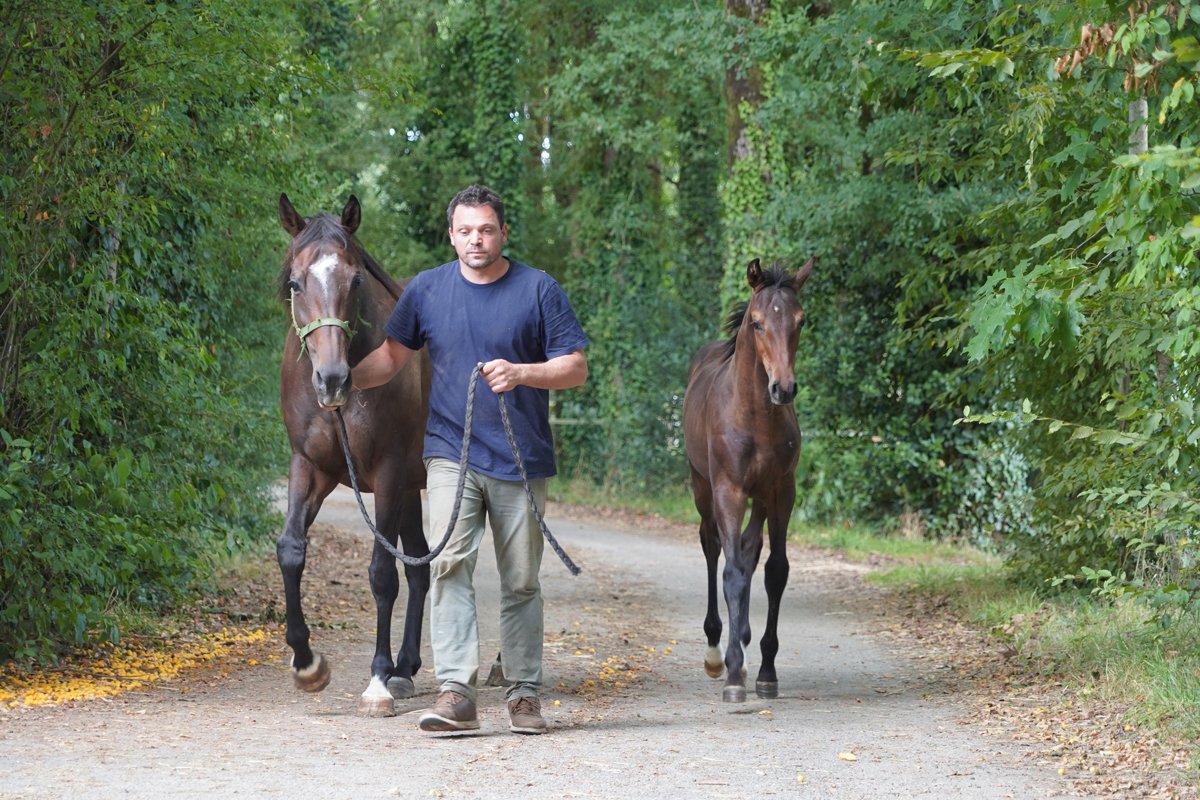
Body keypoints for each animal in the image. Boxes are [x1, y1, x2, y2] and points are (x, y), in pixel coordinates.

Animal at [276, 193, 431, 717]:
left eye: (356, 279)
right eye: (295, 282)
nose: (332, 380)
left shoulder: (387, 475)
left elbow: (382, 574)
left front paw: (377, 680)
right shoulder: (310, 467)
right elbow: (291, 551)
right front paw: (307, 663)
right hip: (413, 489)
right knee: (421, 566)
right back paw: (407, 668)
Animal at [682, 256, 815, 703]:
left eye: (800, 320)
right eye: (757, 323)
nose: (783, 388)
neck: (755, 417)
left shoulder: (781, 492)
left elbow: (774, 570)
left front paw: (766, 671)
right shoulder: (729, 490)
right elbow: (732, 574)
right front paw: (733, 674)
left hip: (760, 498)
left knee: (748, 547)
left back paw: (741, 637)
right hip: (702, 488)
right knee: (712, 548)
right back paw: (716, 650)